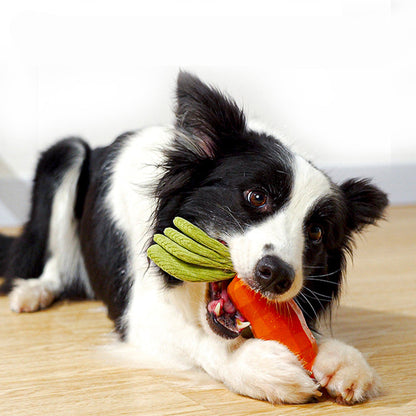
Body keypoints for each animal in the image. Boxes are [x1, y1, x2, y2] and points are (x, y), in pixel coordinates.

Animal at [0, 71, 386, 404]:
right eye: (256, 196)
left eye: (317, 232)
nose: (276, 275)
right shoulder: (137, 314)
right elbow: (199, 339)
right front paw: (258, 365)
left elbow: (301, 329)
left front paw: (340, 358)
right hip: (65, 154)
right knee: (54, 261)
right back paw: (34, 292)